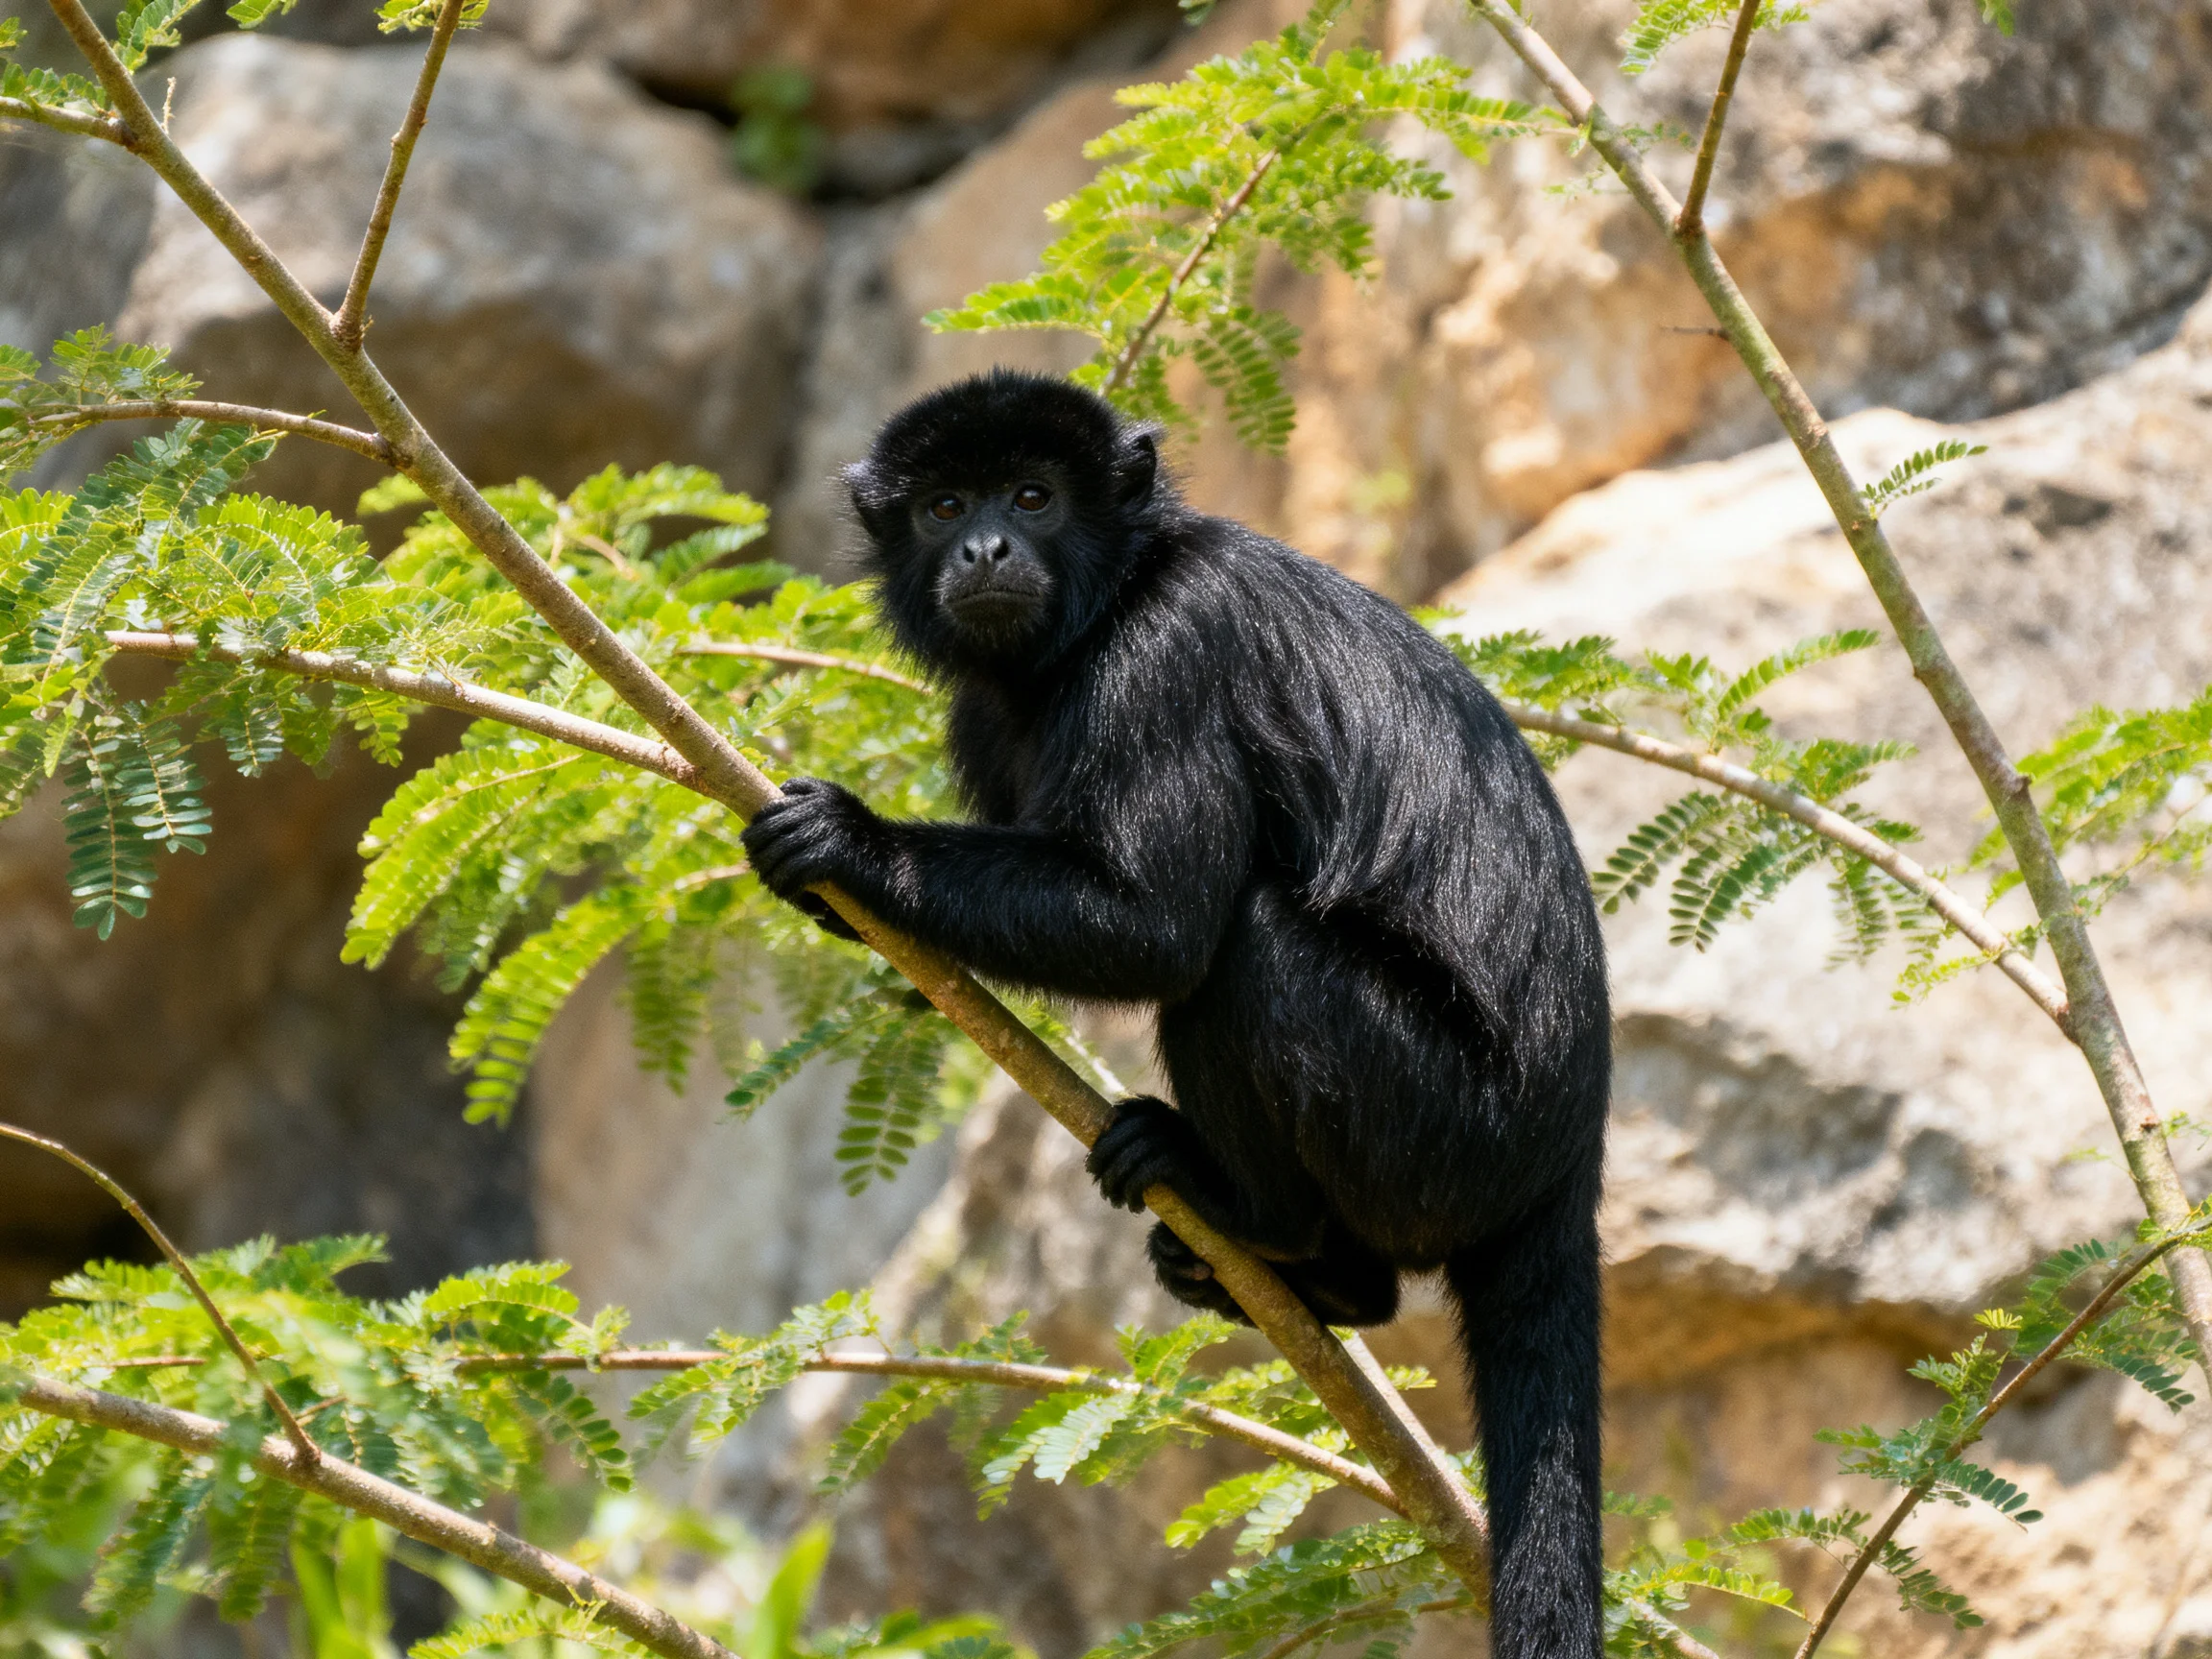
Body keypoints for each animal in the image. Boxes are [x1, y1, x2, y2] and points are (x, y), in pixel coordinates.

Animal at [741, 369, 1609, 1659]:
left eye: (1033, 497)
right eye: (946, 505)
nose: (985, 545)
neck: (1100, 610)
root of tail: (1568, 1160)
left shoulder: (1168, 653)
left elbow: (1155, 924)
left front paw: (853, 843)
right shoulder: (979, 719)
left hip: (1450, 1132)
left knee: (1253, 947)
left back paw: (1254, 1218)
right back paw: (1336, 1288)